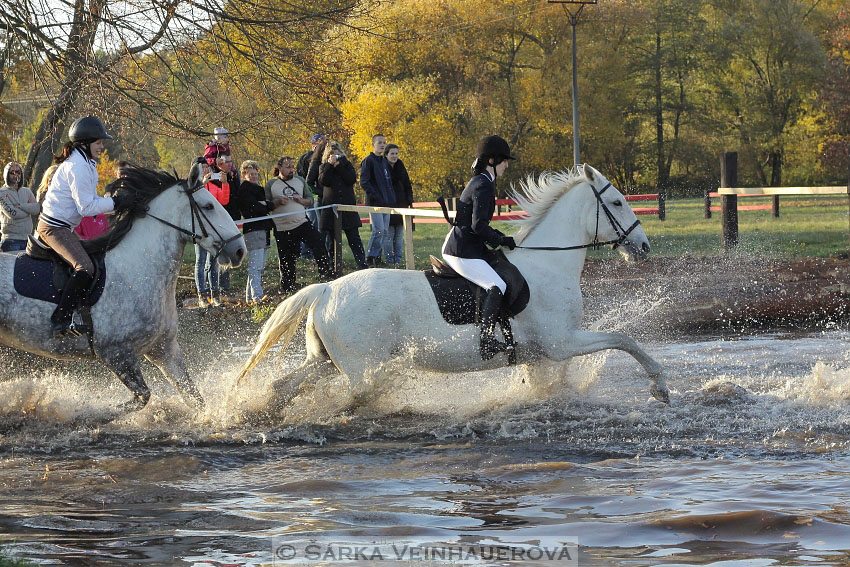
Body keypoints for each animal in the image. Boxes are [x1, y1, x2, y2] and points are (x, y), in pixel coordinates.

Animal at [0, 168, 245, 412]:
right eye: (209, 206)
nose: (239, 250)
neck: (138, 269)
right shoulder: (117, 354)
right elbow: (139, 398)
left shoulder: (164, 349)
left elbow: (194, 398)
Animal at [240, 164, 668, 408]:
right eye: (617, 202)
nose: (644, 247)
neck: (549, 261)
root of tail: (326, 289)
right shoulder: (562, 342)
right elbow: (624, 339)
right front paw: (659, 386)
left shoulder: (542, 354)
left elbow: (551, 383)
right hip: (364, 367)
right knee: (355, 398)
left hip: (324, 361)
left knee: (283, 387)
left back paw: (260, 417)